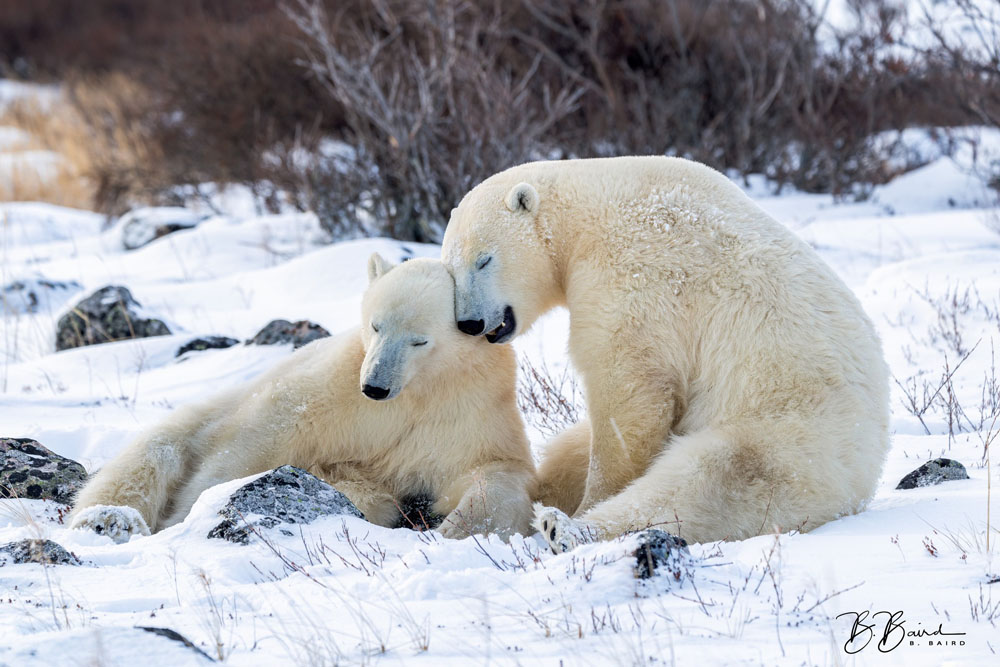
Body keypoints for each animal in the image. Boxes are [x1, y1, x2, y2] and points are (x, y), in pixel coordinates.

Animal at [70, 254, 540, 544]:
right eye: (376, 325)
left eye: (419, 339)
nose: (375, 386)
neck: (420, 387)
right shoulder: (335, 389)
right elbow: (260, 437)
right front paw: (186, 517)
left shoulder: (466, 408)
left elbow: (492, 471)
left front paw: (457, 529)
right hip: (194, 420)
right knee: (146, 462)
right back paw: (111, 519)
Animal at [446, 157, 892, 552]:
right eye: (450, 268)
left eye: (484, 260)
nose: (469, 322)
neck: (586, 214)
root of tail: (866, 474)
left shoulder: (635, 272)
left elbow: (629, 394)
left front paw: (591, 501)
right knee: (569, 448)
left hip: (792, 439)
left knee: (708, 479)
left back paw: (567, 529)